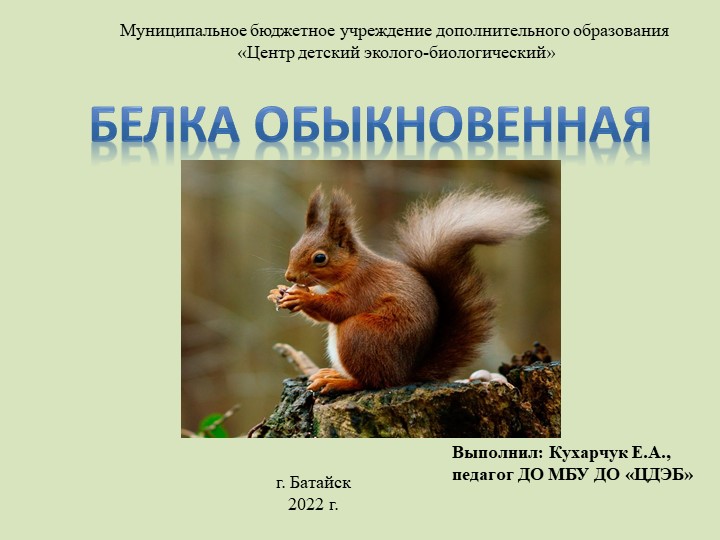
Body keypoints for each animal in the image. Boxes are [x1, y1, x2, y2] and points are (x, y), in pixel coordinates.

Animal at [268, 186, 544, 394]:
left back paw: (339, 381)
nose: (290, 276)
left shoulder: (363, 286)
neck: (350, 269)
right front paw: (278, 292)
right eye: (294, 248)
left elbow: (338, 308)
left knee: (372, 382)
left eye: (320, 258)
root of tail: (404, 374)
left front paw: (302, 296)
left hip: (360, 333)